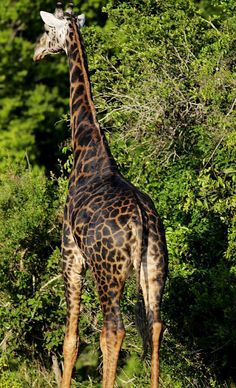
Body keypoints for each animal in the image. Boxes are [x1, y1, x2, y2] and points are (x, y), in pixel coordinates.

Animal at [33, 1, 168, 386]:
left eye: (46, 32)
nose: (36, 52)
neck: (88, 148)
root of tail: (141, 221)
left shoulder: (70, 254)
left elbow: (71, 340)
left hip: (108, 272)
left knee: (114, 329)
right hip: (154, 267)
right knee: (155, 325)